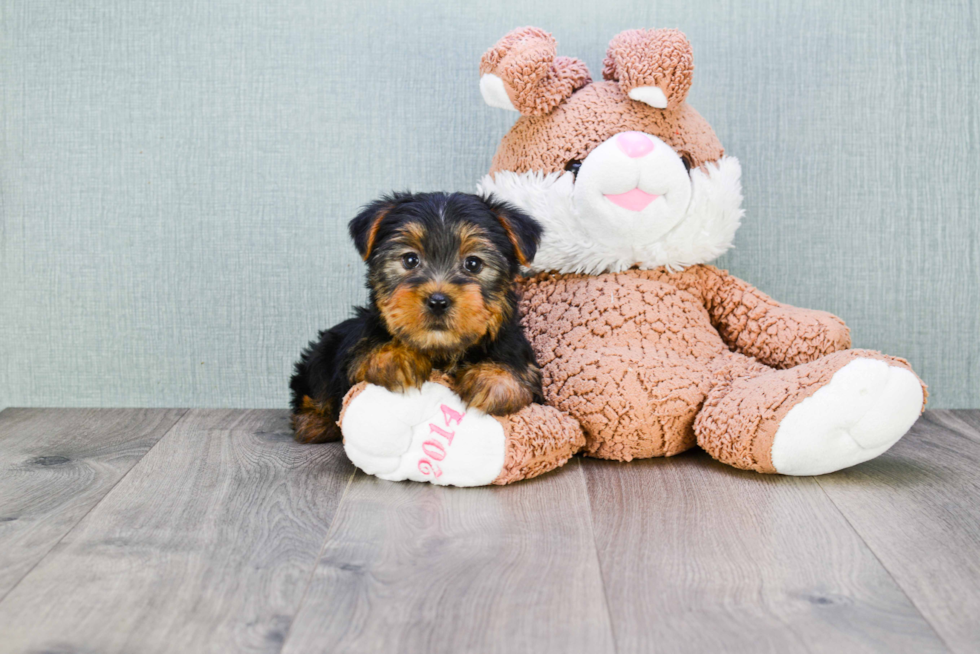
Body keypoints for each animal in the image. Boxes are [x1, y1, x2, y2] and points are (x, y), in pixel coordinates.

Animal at [290, 191, 548, 446]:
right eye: (410, 260)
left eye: (473, 264)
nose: (438, 301)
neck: (441, 351)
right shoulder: (354, 352)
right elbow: (365, 353)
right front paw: (397, 357)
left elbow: (520, 370)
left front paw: (493, 379)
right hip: (323, 351)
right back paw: (314, 423)